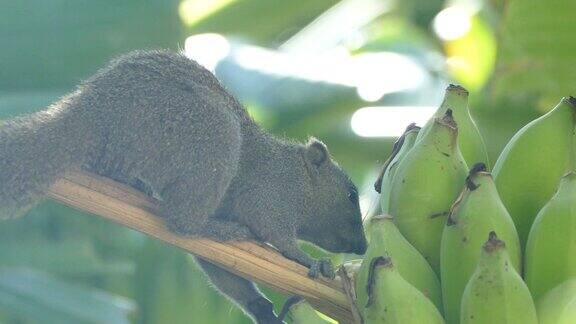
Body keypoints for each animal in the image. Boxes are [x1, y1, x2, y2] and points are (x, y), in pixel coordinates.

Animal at [0, 50, 366, 322]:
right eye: (351, 195)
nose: (363, 247)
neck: (295, 176)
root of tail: (86, 114)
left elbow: (223, 271)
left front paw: (260, 307)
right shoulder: (270, 195)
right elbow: (276, 235)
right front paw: (310, 261)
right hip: (211, 133)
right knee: (182, 222)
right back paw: (217, 228)